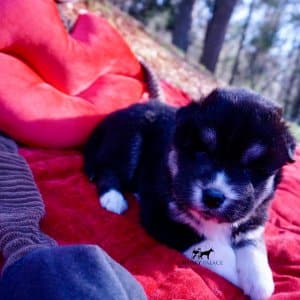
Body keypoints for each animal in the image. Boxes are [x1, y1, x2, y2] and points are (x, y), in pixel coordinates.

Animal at [84, 87, 296, 300]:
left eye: (249, 168)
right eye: (202, 153)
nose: (213, 197)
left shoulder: (254, 217)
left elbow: (253, 244)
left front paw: (260, 280)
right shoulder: (161, 218)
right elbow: (218, 250)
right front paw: (239, 275)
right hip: (130, 139)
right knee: (108, 170)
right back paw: (113, 198)